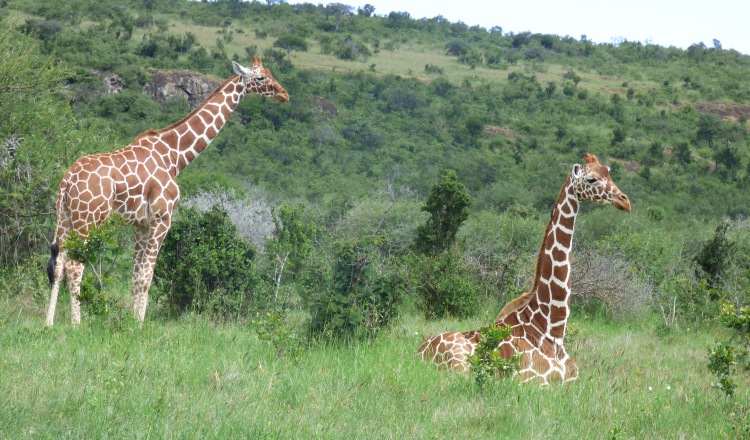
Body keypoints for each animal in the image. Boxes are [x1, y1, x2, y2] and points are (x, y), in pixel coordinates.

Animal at [45, 57, 290, 326]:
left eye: (269, 72)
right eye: (260, 78)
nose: (284, 94)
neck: (175, 156)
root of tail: (67, 180)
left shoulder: (141, 224)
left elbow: (135, 277)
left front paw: (131, 320)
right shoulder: (162, 218)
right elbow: (147, 277)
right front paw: (138, 325)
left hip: (66, 219)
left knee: (58, 264)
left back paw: (48, 323)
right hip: (88, 220)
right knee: (75, 266)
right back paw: (76, 324)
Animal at [420, 153, 632, 384]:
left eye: (609, 173)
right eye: (592, 179)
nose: (625, 201)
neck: (551, 330)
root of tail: (420, 351)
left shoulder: (572, 381)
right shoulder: (533, 381)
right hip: (460, 365)